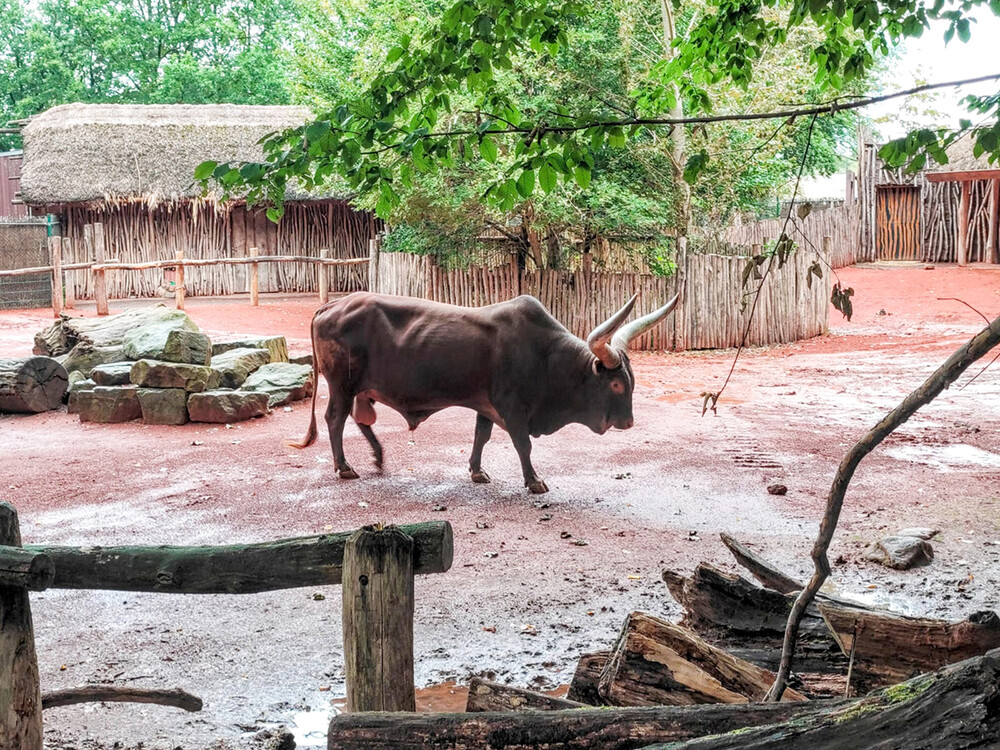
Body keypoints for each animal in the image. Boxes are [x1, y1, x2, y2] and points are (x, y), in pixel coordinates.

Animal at [290, 292, 680, 494]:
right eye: (615, 384)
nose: (628, 422)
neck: (546, 356)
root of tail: (330, 306)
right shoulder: (513, 408)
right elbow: (523, 445)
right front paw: (534, 480)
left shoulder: (485, 405)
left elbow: (481, 435)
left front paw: (477, 471)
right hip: (342, 385)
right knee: (335, 419)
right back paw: (345, 467)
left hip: (362, 388)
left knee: (361, 419)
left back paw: (378, 456)